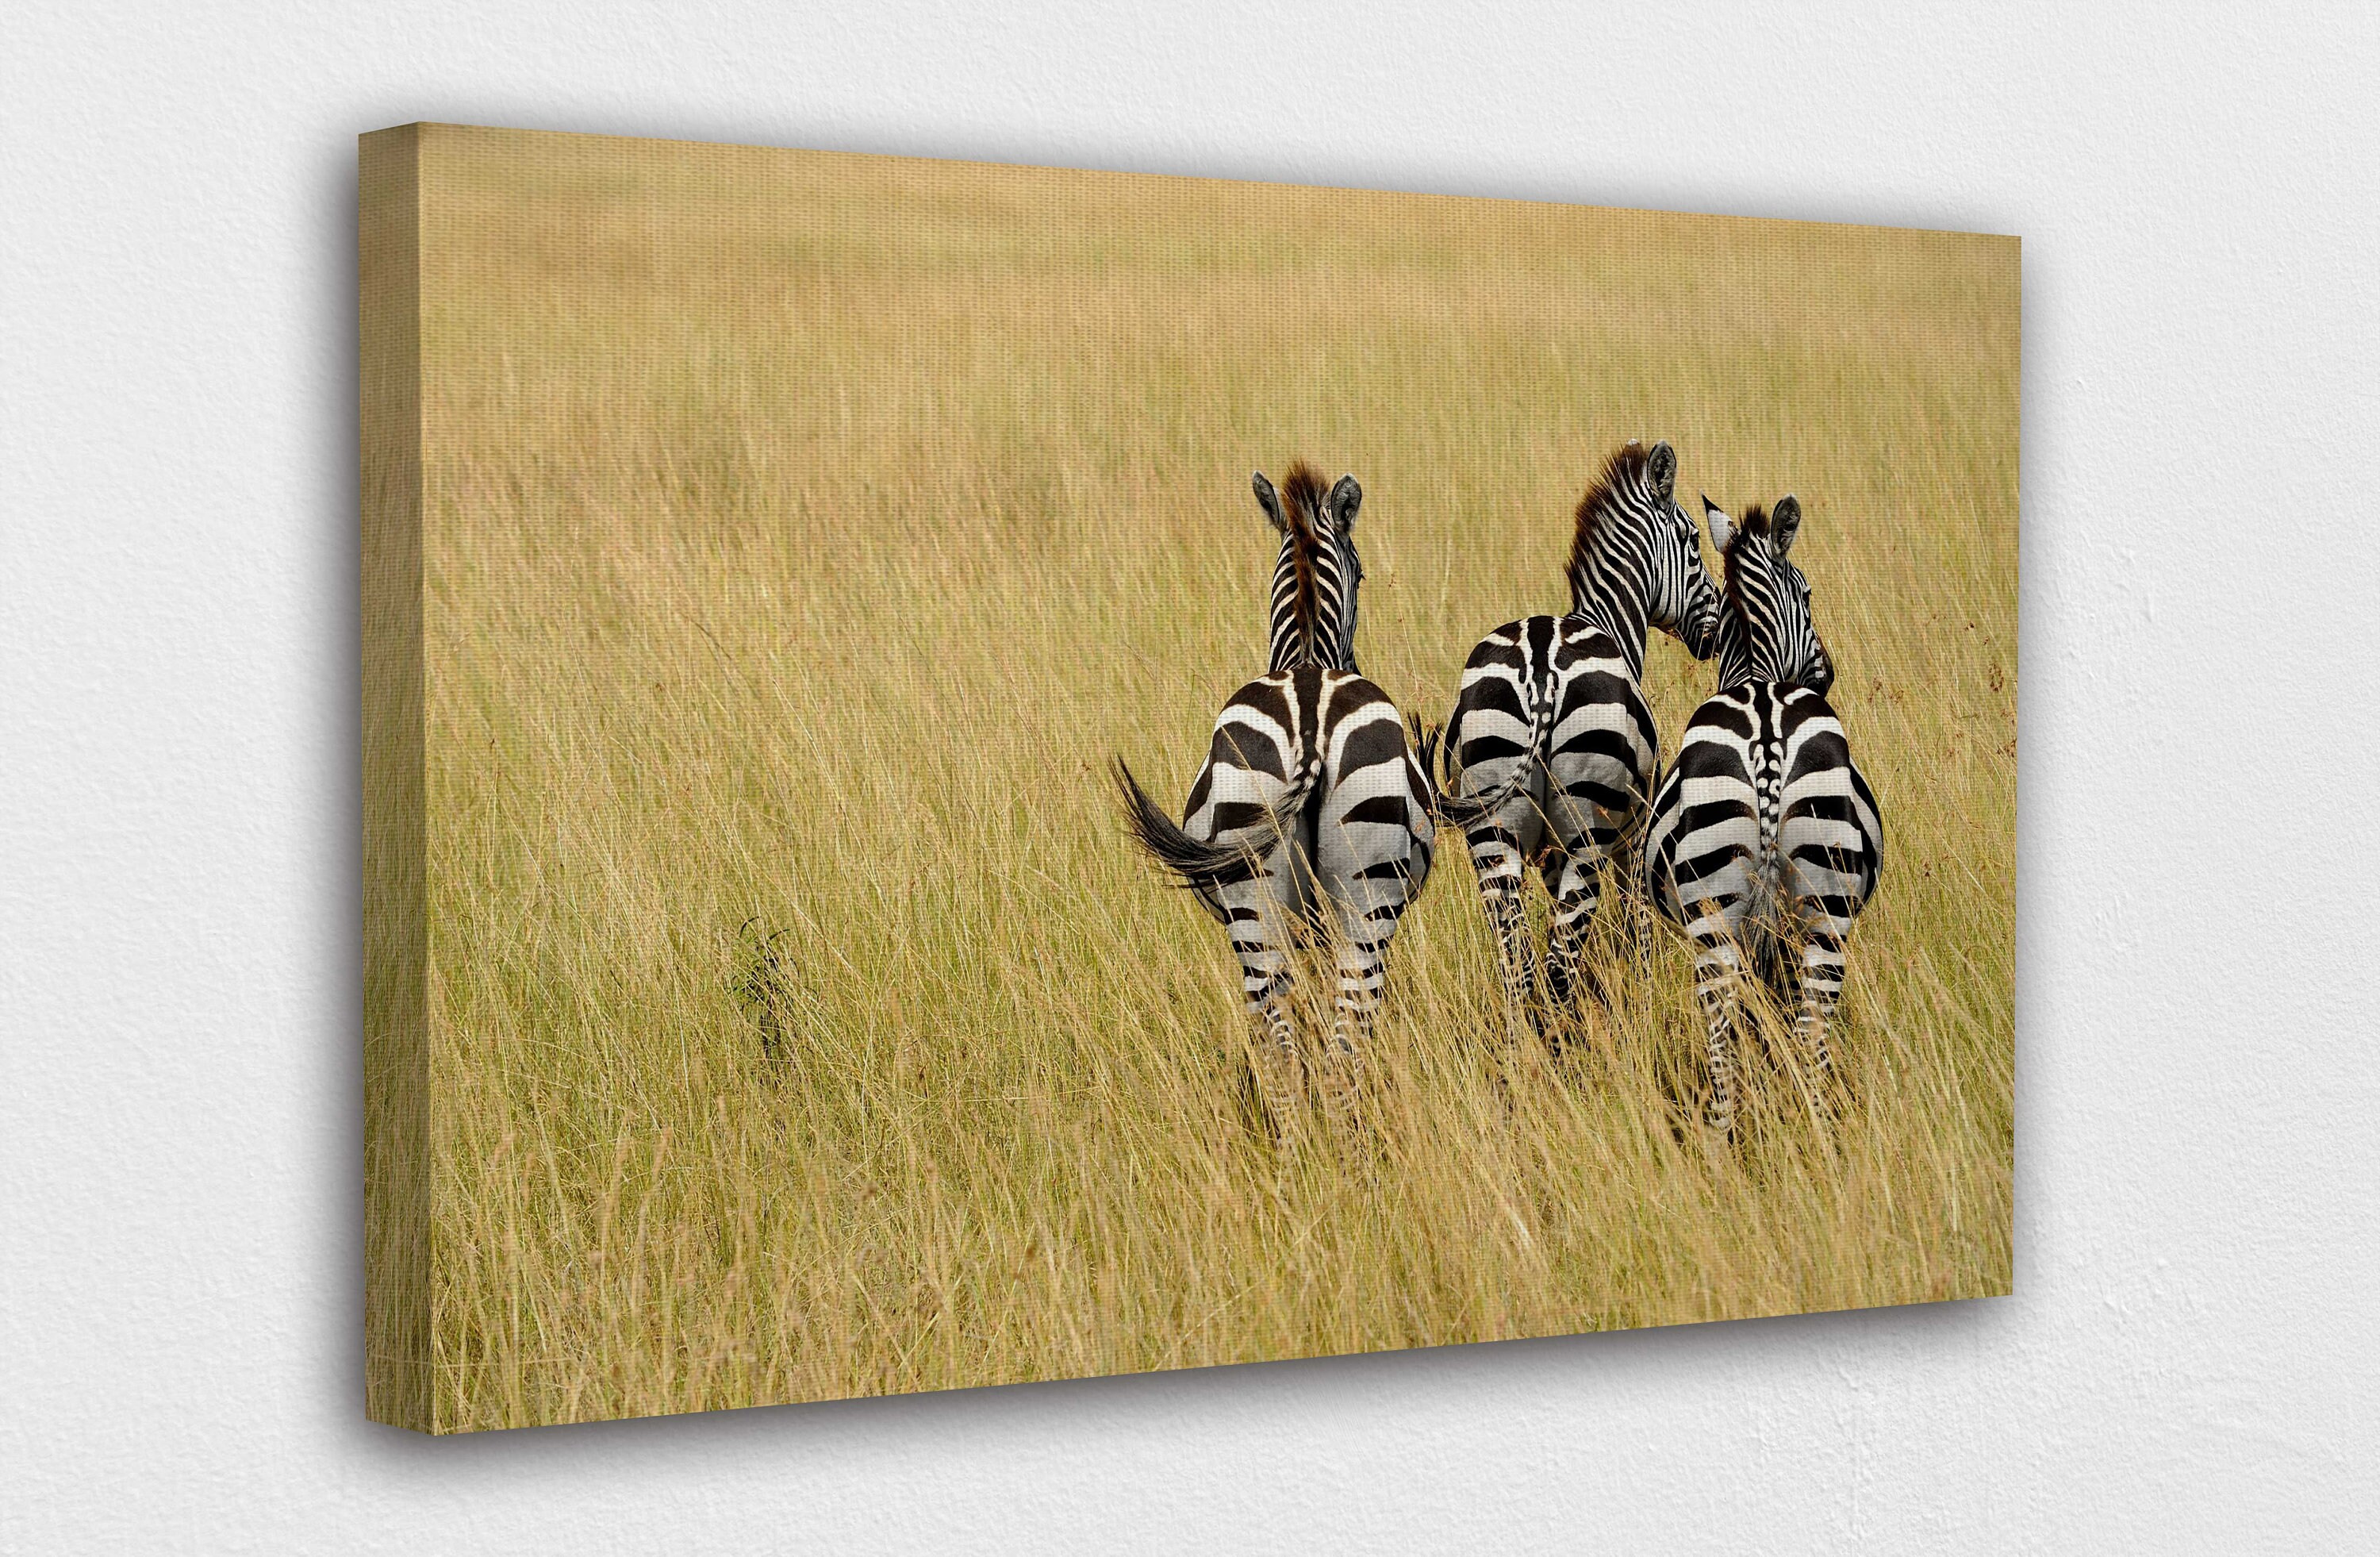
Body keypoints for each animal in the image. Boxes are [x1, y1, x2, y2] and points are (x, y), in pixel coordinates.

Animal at [1114, 465, 1437, 1127]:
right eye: (1364, 573)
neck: (1307, 656)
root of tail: (1310, 724)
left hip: (1260, 902)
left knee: (1287, 1050)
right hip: (1360, 907)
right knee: (1340, 1053)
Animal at [1435, 440, 1721, 1042]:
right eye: (1691, 542)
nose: (1713, 631)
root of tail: (1541, 667)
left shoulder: (1545, 857)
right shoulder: (1635, 838)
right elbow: (1636, 928)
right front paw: (1641, 995)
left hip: (1491, 833)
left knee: (1518, 966)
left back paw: (1523, 1057)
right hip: (1588, 835)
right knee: (1558, 967)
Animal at [1641, 494, 1884, 1133]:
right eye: (1809, 594)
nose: (1827, 673)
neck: (1757, 675)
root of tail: (1770, 732)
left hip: (1744, 913)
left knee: (1748, 1029)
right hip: (1805, 913)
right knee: (1788, 1031)